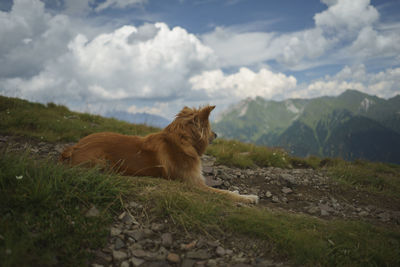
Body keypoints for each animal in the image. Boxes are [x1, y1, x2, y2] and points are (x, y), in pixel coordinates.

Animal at [59, 105, 260, 204]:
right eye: (209, 127)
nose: (216, 135)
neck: (181, 141)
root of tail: (73, 147)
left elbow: (225, 190)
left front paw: (238, 191)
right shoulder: (193, 184)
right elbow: (224, 193)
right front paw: (248, 197)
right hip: (102, 161)